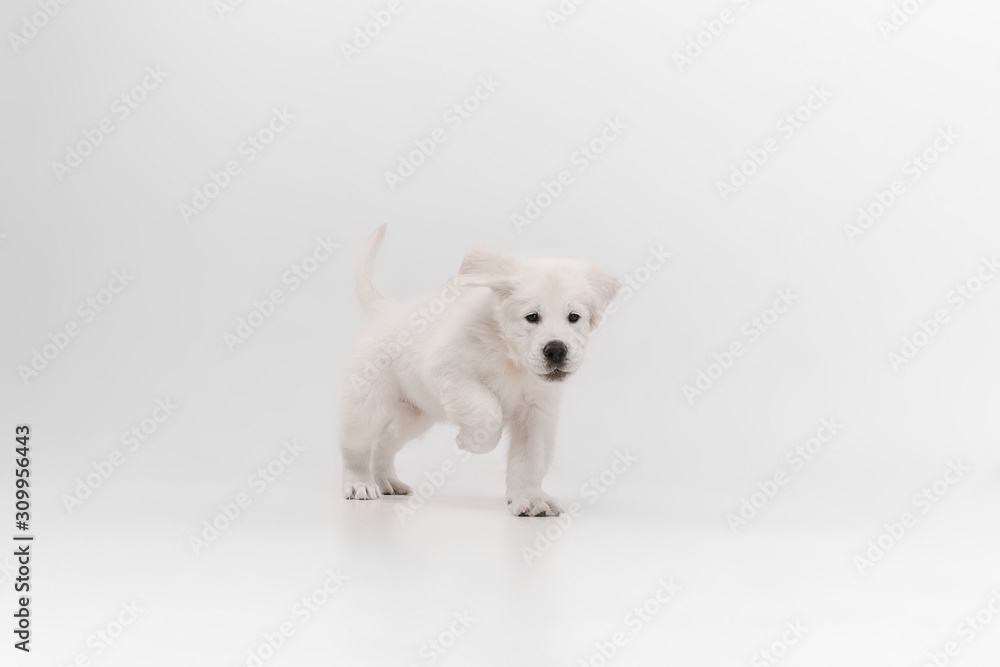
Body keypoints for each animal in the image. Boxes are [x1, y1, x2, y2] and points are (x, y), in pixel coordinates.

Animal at [338, 224, 616, 516]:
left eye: (574, 317)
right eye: (532, 317)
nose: (556, 350)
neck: (510, 356)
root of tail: (385, 310)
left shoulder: (536, 411)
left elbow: (530, 459)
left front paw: (529, 499)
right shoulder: (450, 372)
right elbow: (487, 412)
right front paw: (468, 441)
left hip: (413, 415)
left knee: (384, 443)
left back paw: (387, 481)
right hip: (365, 408)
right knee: (355, 447)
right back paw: (359, 483)